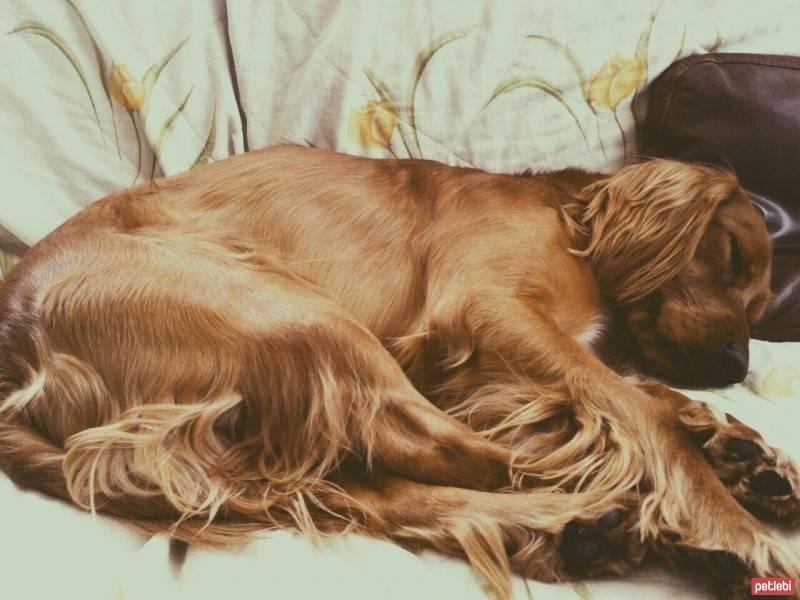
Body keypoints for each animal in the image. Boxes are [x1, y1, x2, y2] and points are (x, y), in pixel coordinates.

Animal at [1, 146, 800, 600]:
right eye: (731, 257)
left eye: (761, 304)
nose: (735, 364)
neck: (572, 220)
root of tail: (16, 344)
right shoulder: (483, 307)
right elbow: (640, 413)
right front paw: (728, 522)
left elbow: (638, 392)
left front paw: (744, 450)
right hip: (288, 308)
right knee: (448, 452)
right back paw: (599, 508)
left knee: (363, 485)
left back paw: (568, 528)